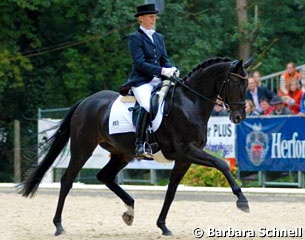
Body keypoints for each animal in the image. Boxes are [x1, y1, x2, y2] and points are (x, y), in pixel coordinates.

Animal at [20, 57, 251, 236]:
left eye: (247, 85)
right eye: (234, 84)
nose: (239, 117)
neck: (190, 102)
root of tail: (85, 102)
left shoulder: (184, 158)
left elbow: (171, 190)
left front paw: (163, 226)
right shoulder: (188, 150)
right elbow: (222, 164)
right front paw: (242, 201)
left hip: (121, 154)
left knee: (105, 176)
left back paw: (129, 211)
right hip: (83, 148)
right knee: (67, 180)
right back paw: (59, 226)